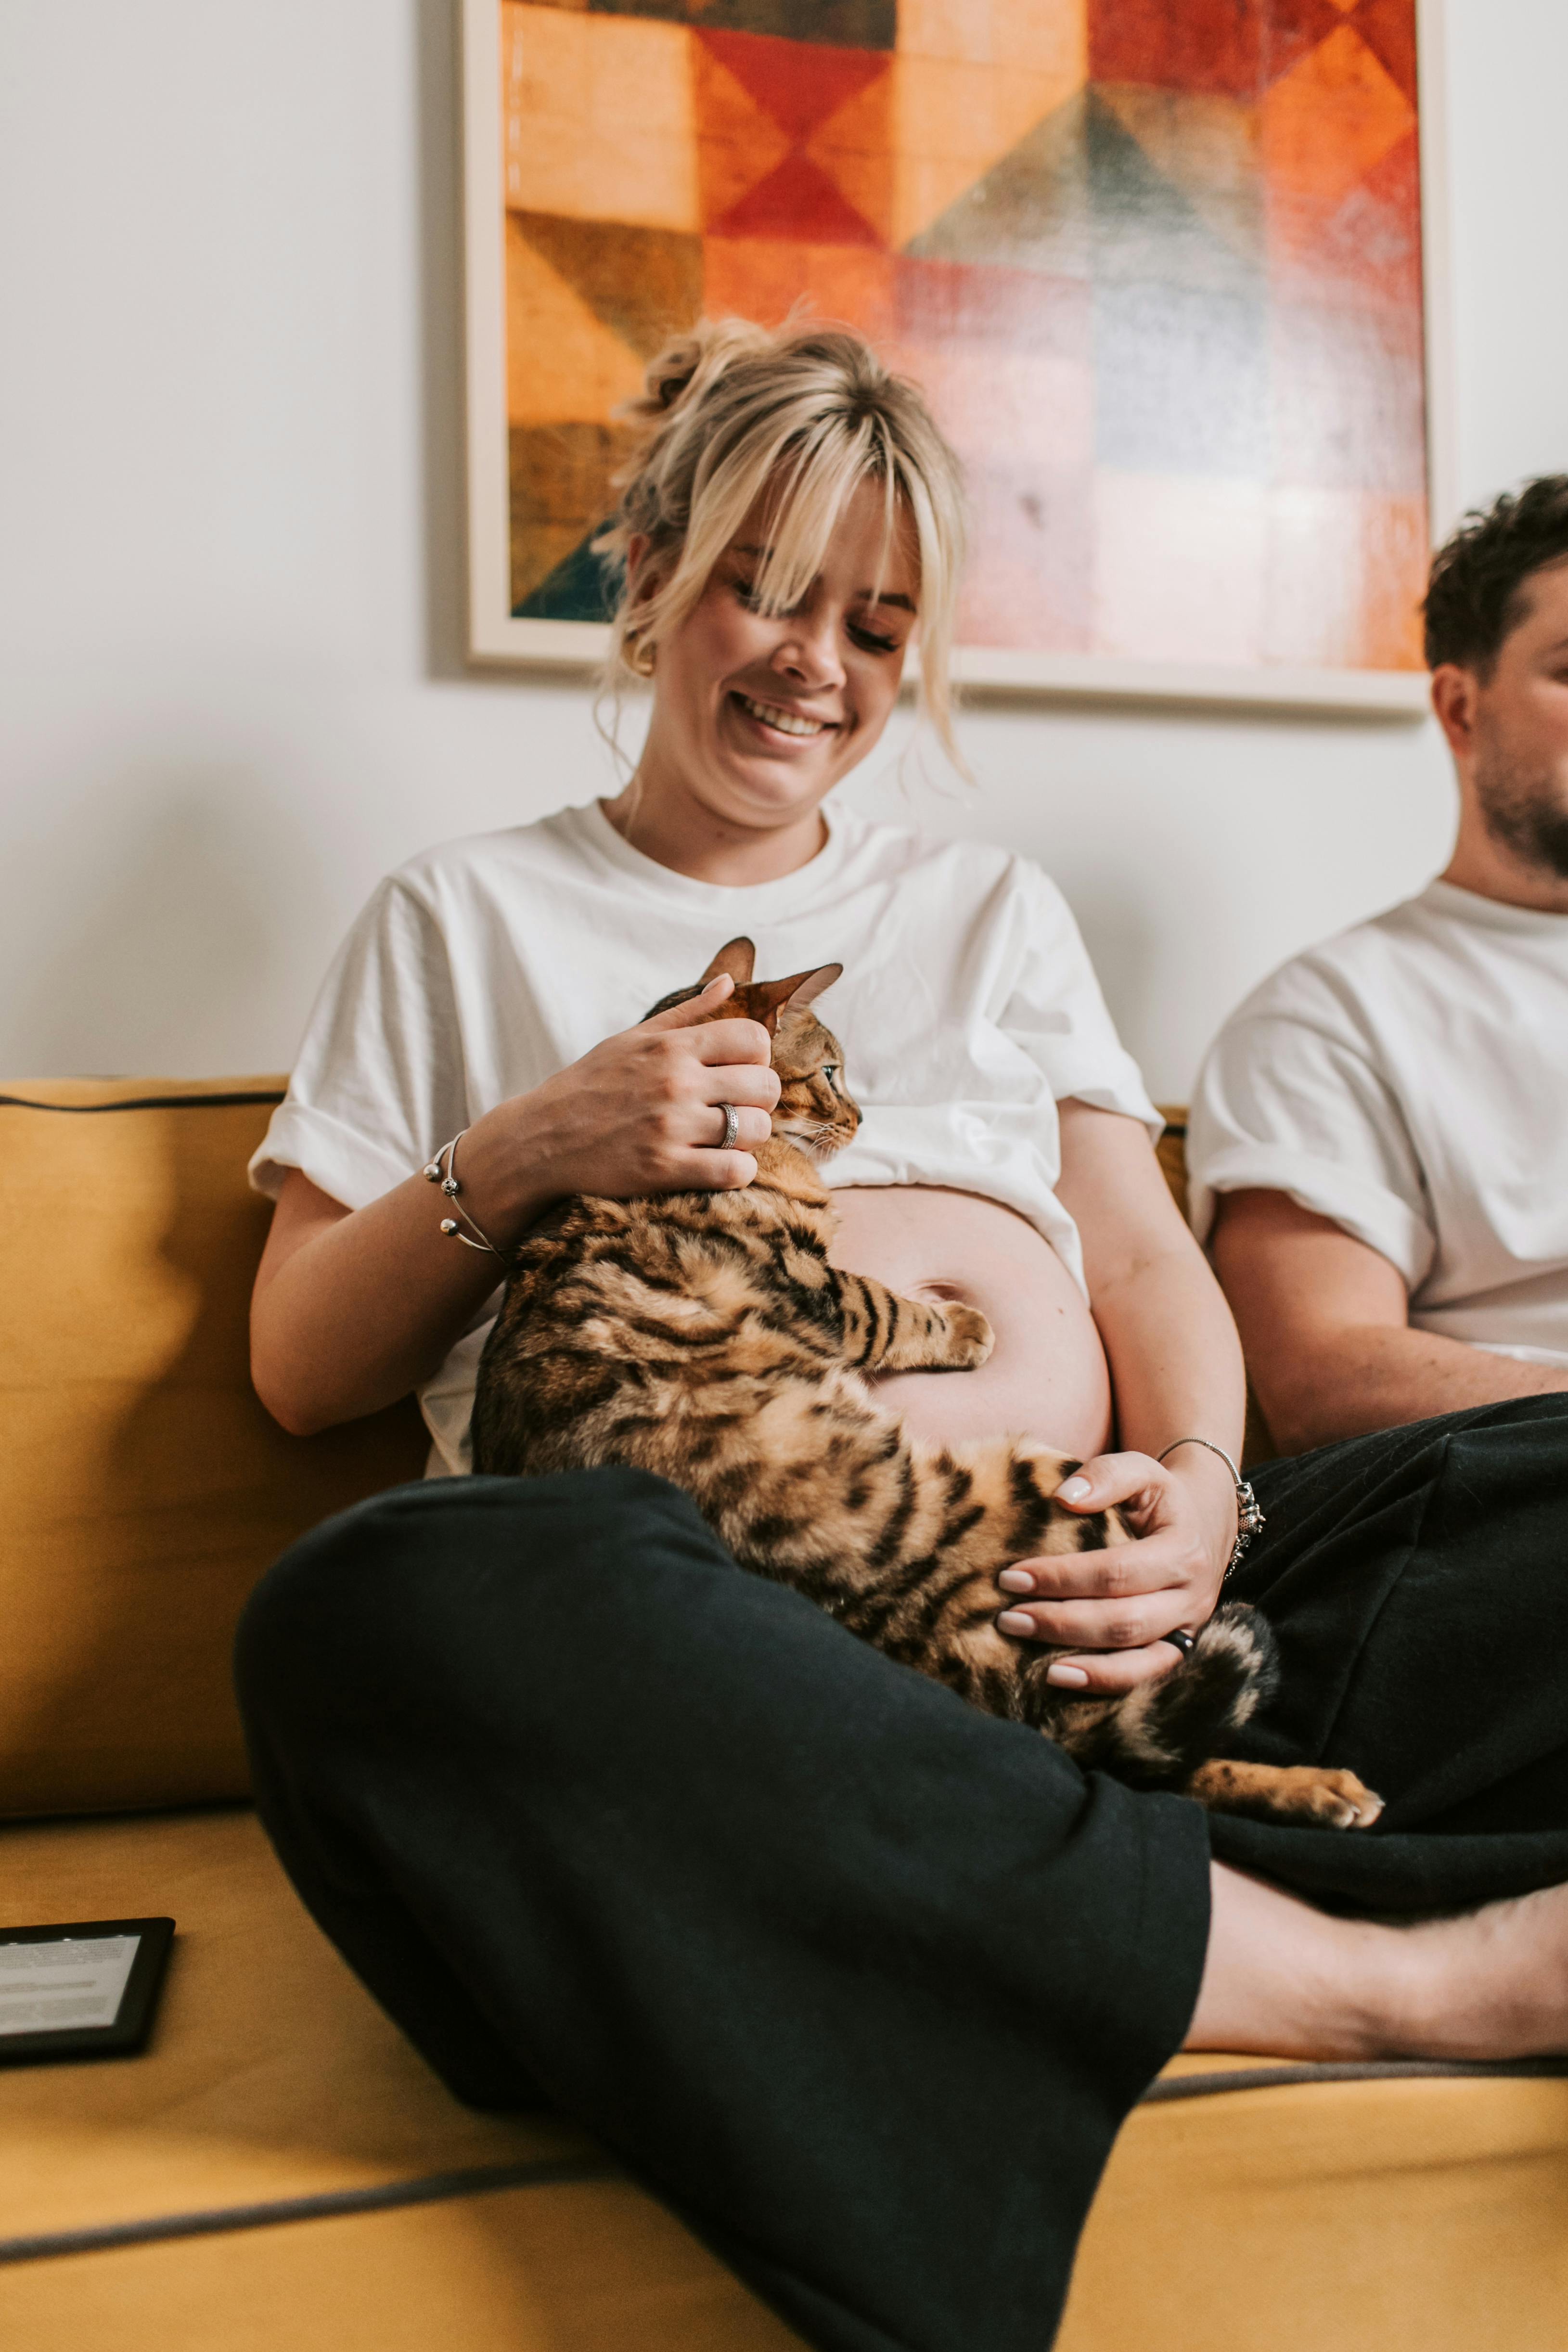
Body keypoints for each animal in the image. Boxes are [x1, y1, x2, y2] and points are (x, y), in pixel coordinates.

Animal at [472, 936, 1382, 1834]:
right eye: (831, 1070)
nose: (861, 1118)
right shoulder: (812, 1285)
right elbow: (892, 1307)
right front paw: (968, 1326)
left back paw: (1323, 1788)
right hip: (1054, 1485)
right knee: (1125, 1743)